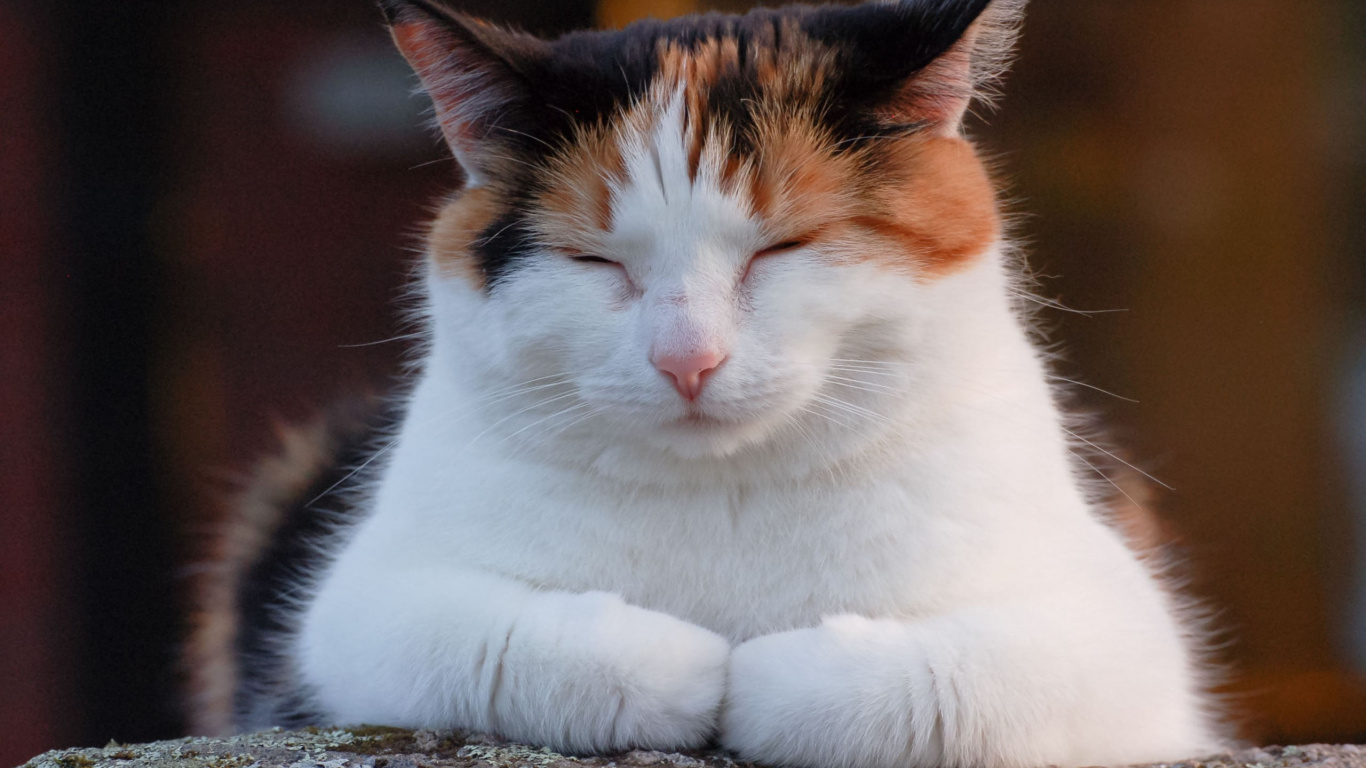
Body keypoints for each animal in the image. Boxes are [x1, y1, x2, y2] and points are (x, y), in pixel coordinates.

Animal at [184, 0, 1229, 759]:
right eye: (597, 263)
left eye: (781, 249)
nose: (688, 358)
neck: (723, 494)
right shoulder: (359, 609)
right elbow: (506, 645)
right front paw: (696, 671)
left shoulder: (1124, 635)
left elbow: (958, 686)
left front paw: (765, 680)